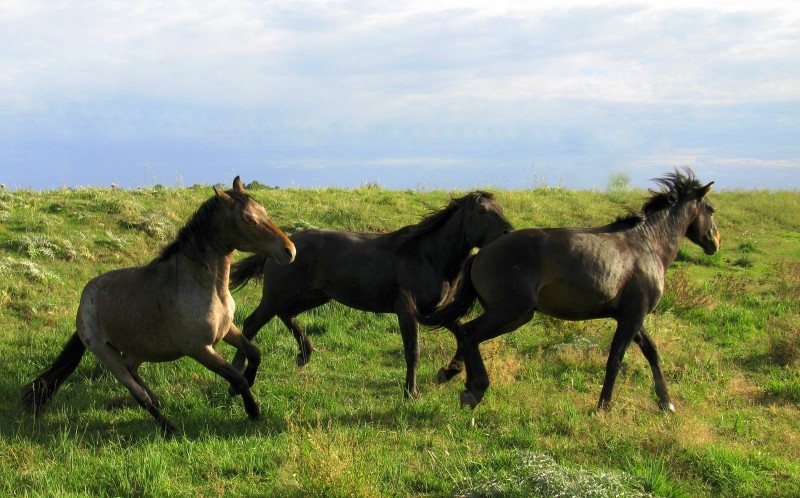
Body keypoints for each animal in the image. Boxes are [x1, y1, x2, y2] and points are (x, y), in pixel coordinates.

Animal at [21, 177, 296, 434]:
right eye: (249, 220)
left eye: (264, 211)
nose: (289, 251)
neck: (205, 287)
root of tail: (84, 300)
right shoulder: (199, 349)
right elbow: (237, 377)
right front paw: (252, 410)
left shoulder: (227, 330)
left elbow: (254, 353)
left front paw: (244, 390)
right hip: (106, 354)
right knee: (136, 392)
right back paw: (168, 427)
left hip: (138, 349)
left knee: (133, 371)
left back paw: (158, 400)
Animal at [228, 191, 516, 396]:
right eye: (482, 211)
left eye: (501, 209)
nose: (509, 233)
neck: (428, 257)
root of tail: (284, 245)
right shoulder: (406, 309)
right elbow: (413, 350)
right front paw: (411, 392)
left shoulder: (435, 312)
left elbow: (461, 333)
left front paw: (448, 372)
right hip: (278, 296)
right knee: (252, 323)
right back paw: (237, 379)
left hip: (315, 296)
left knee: (286, 315)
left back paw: (304, 355)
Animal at [422, 169, 720, 410]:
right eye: (711, 210)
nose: (715, 242)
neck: (647, 246)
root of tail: (480, 254)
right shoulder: (633, 316)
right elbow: (616, 359)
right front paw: (603, 406)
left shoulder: (630, 315)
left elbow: (651, 352)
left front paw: (666, 402)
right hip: (511, 312)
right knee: (469, 333)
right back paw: (474, 390)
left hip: (514, 315)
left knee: (466, 335)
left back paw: (456, 378)